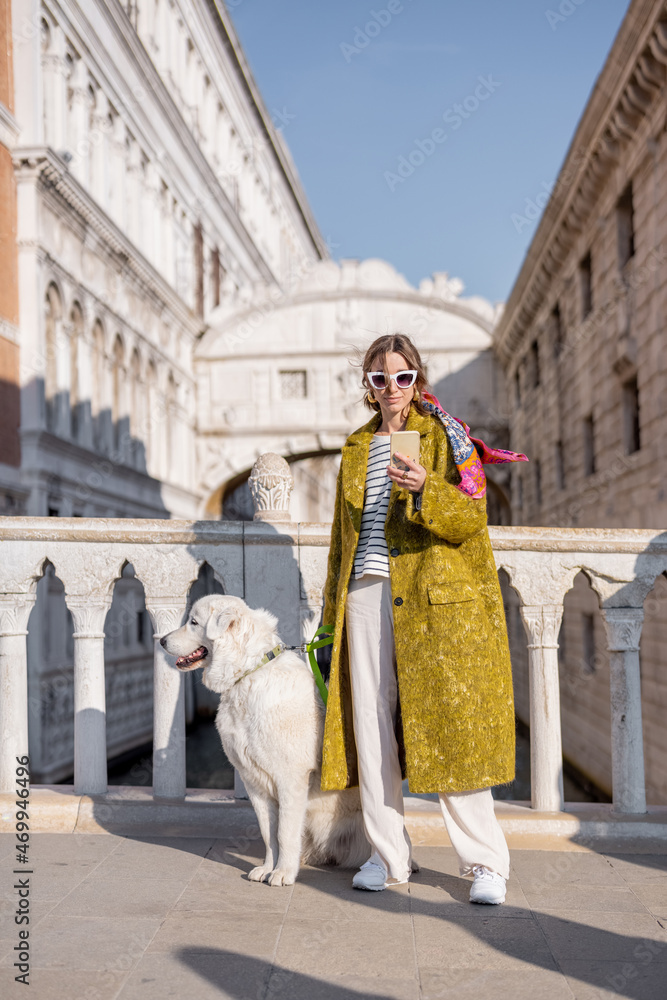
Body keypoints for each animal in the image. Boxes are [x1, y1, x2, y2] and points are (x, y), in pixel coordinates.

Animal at [162, 592, 370, 884]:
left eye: (193, 622)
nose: (161, 640)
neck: (247, 674)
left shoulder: (290, 779)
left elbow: (284, 832)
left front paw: (283, 873)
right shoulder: (254, 783)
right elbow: (268, 833)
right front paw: (267, 868)